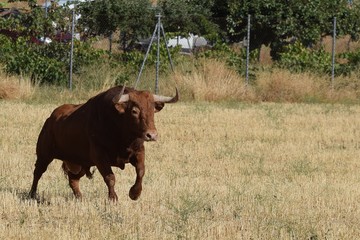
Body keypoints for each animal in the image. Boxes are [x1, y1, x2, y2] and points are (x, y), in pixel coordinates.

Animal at [29, 85, 179, 202]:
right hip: (44, 155)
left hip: (80, 162)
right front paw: (113, 198)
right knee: (38, 173)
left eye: (152, 110)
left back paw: (79, 197)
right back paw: (32, 194)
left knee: (73, 179)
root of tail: (51, 119)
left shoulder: (139, 151)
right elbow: (110, 177)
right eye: (134, 111)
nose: (151, 135)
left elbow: (141, 172)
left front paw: (134, 193)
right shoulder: (99, 156)